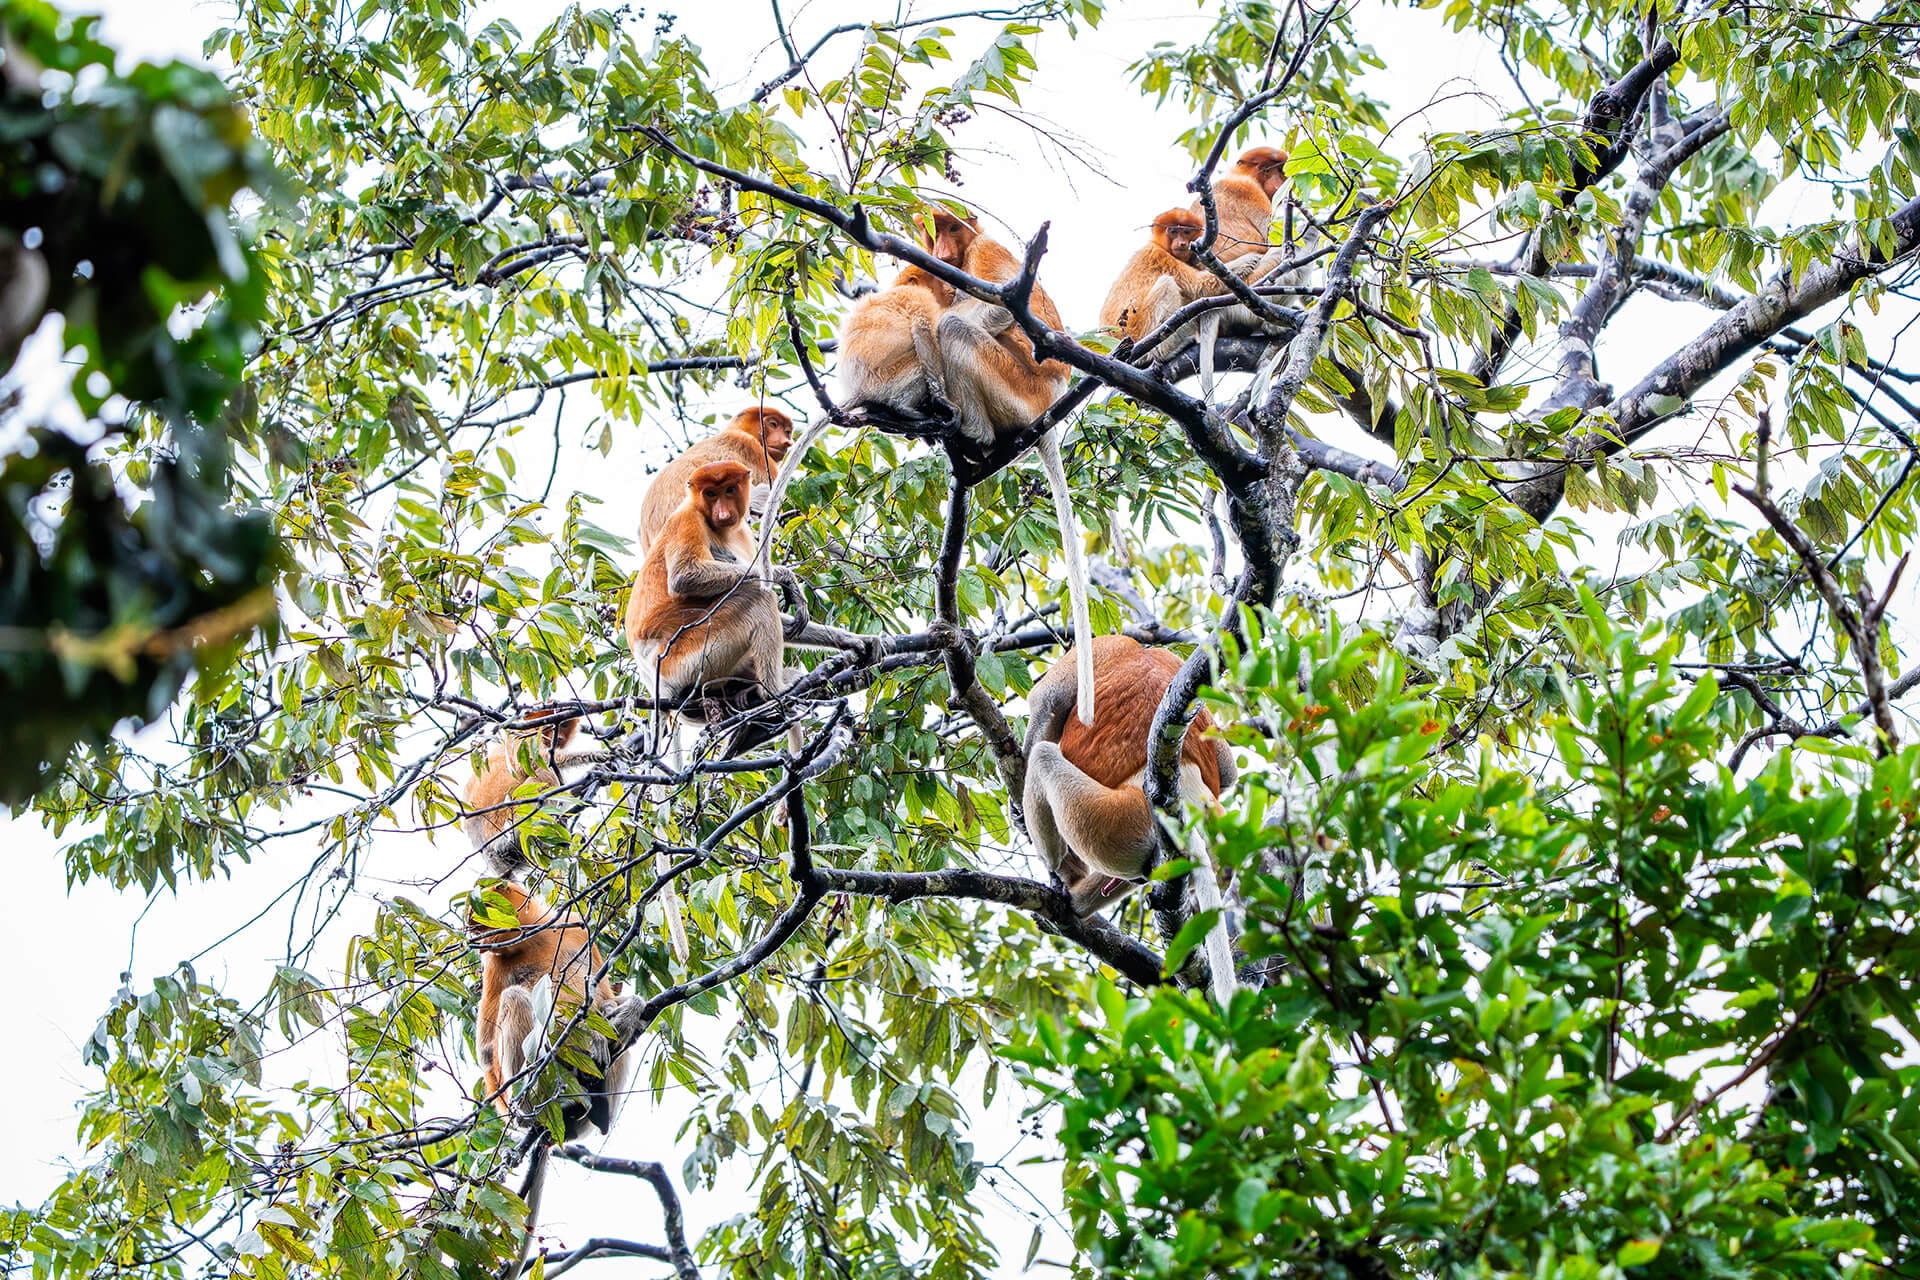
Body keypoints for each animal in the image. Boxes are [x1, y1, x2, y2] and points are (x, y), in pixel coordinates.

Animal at [1022, 634, 1239, 1005]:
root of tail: (1189, 801)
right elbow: (1228, 771)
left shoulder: (1108, 645)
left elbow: (1045, 701)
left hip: (1111, 819)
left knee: (1043, 757)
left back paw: (1062, 880)